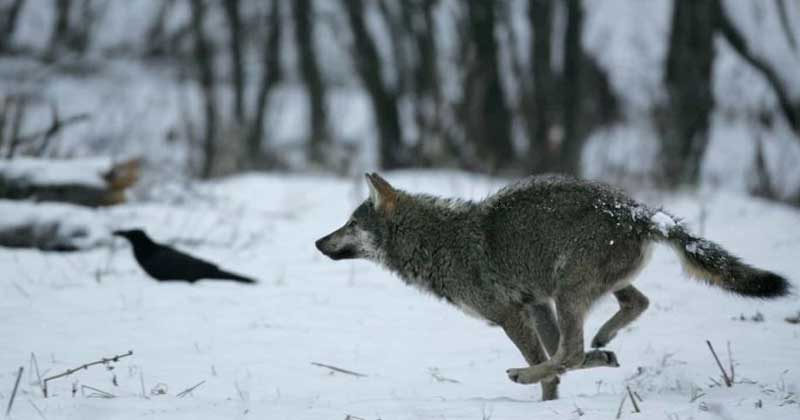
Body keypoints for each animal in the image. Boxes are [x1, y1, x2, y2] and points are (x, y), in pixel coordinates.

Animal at [315, 173, 790, 400]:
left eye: (351, 223)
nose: (318, 242)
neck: (437, 242)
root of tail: (639, 211)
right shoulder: (537, 305)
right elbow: (559, 357)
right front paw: (586, 371)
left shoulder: (510, 314)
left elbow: (551, 359)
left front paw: (544, 396)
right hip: (580, 291)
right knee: (633, 305)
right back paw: (604, 341)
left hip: (569, 291)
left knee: (575, 347)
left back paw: (528, 372)